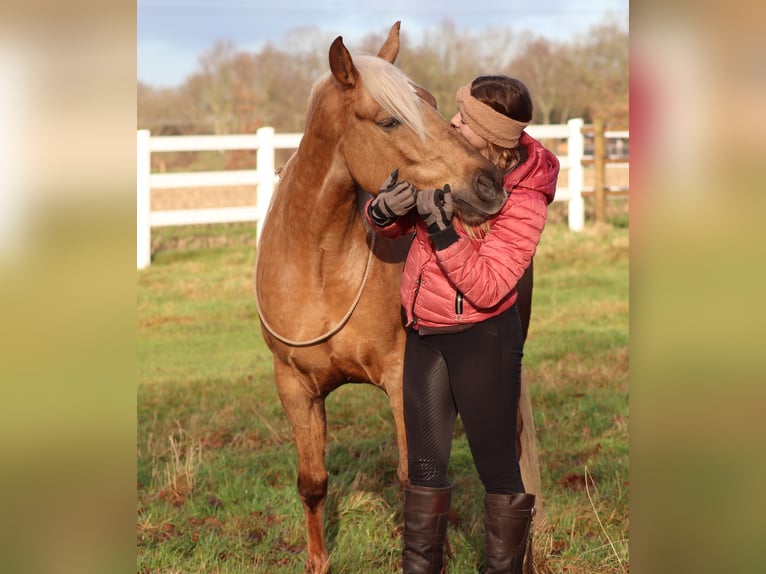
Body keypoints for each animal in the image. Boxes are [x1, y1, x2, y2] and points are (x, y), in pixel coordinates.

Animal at [256, 20, 540, 572]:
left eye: (431, 103)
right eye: (389, 121)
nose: (489, 184)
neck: (320, 268)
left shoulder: (399, 377)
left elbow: (416, 479)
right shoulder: (293, 386)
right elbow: (313, 482)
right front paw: (318, 561)